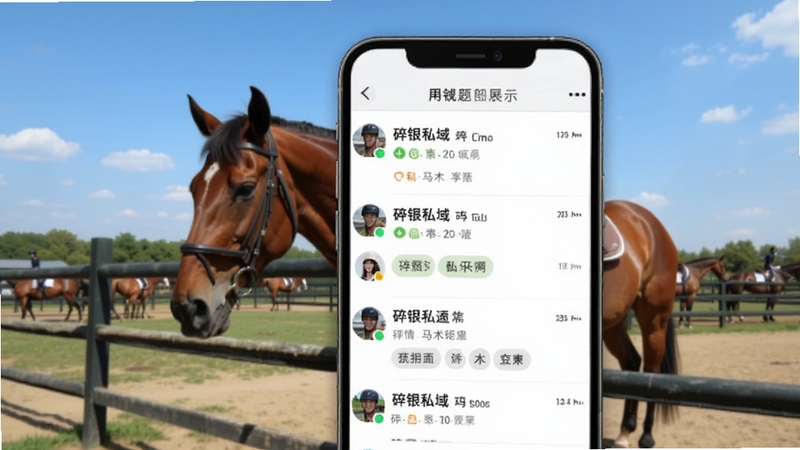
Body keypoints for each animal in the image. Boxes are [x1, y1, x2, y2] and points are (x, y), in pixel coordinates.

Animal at [603, 200, 680, 449]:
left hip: (654, 320)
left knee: (651, 372)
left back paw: (646, 435)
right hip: (613, 323)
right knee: (631, 362)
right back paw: (624, 432)